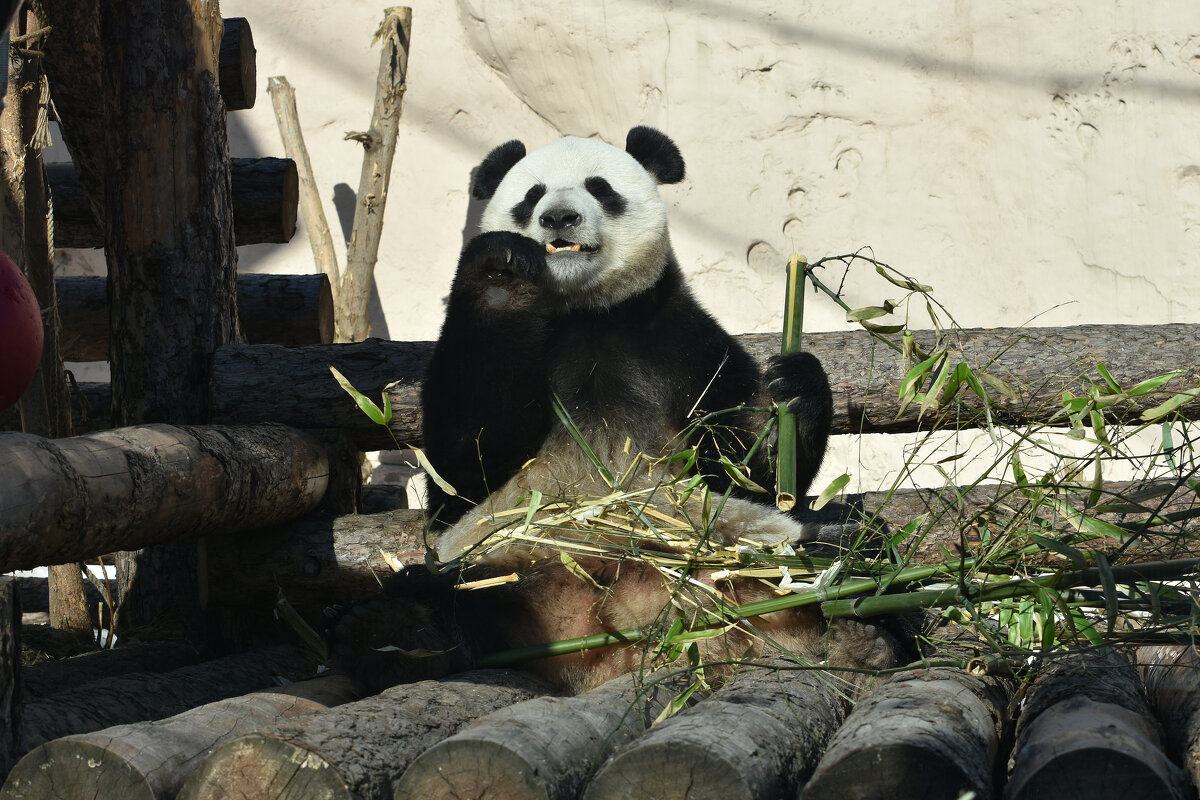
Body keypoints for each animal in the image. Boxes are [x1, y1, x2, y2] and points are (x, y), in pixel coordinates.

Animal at [333, 125, 902, 695]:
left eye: (599, 187)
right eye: (532, 195)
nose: (559, 218)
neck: (585, 311)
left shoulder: (682, 342)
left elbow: (747, 469)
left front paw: (792, 384)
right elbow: (463, 464)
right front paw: (502, 275)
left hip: (742, 547)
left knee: (849, 542)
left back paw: (860, 624)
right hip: (495, 562)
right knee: (427, 596)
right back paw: (402, 638)